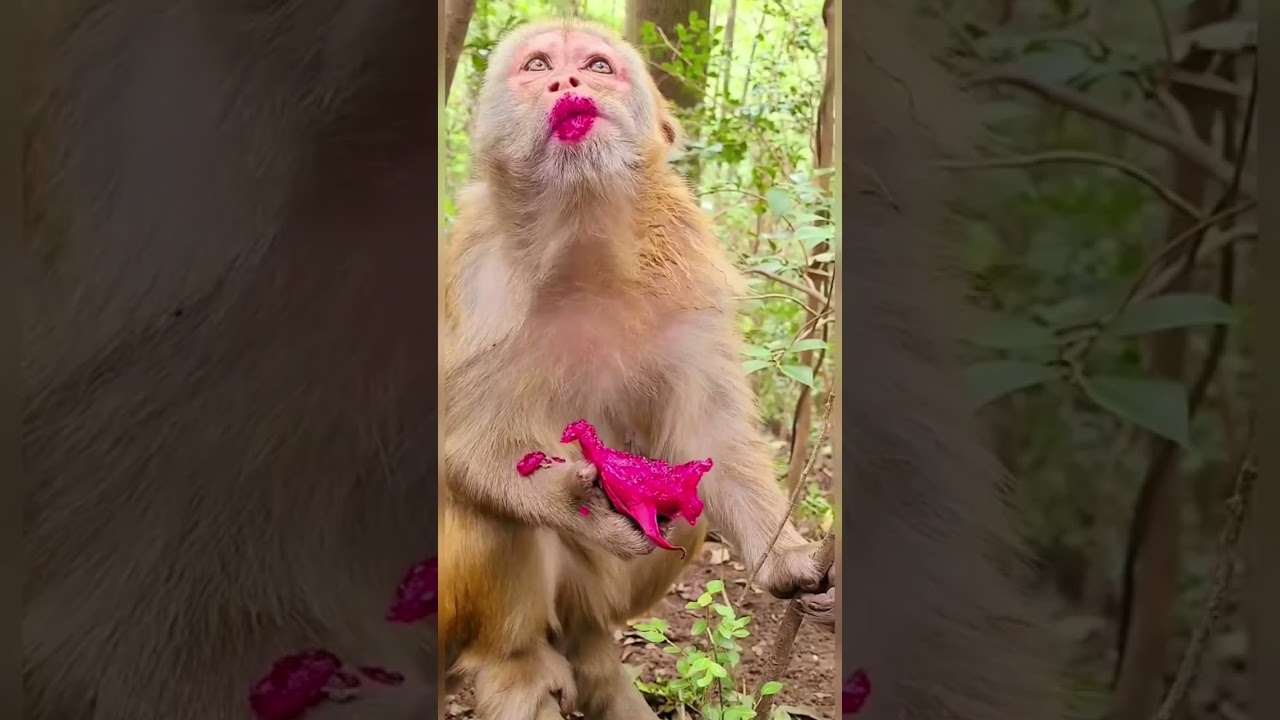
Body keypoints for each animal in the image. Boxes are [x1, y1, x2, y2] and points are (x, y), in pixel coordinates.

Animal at [438, 19, 831, 720]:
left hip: (601, 591)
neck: (581, 232)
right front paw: (576, 503)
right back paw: (515, 660)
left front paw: (784, 561)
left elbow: (708, 434)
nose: (567, 82)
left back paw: (593, 645)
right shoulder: (474, 277)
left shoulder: (691, 267)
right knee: (486, 508)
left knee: (686, 493)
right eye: (538, 65)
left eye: (597, 66)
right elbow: (459, 446)